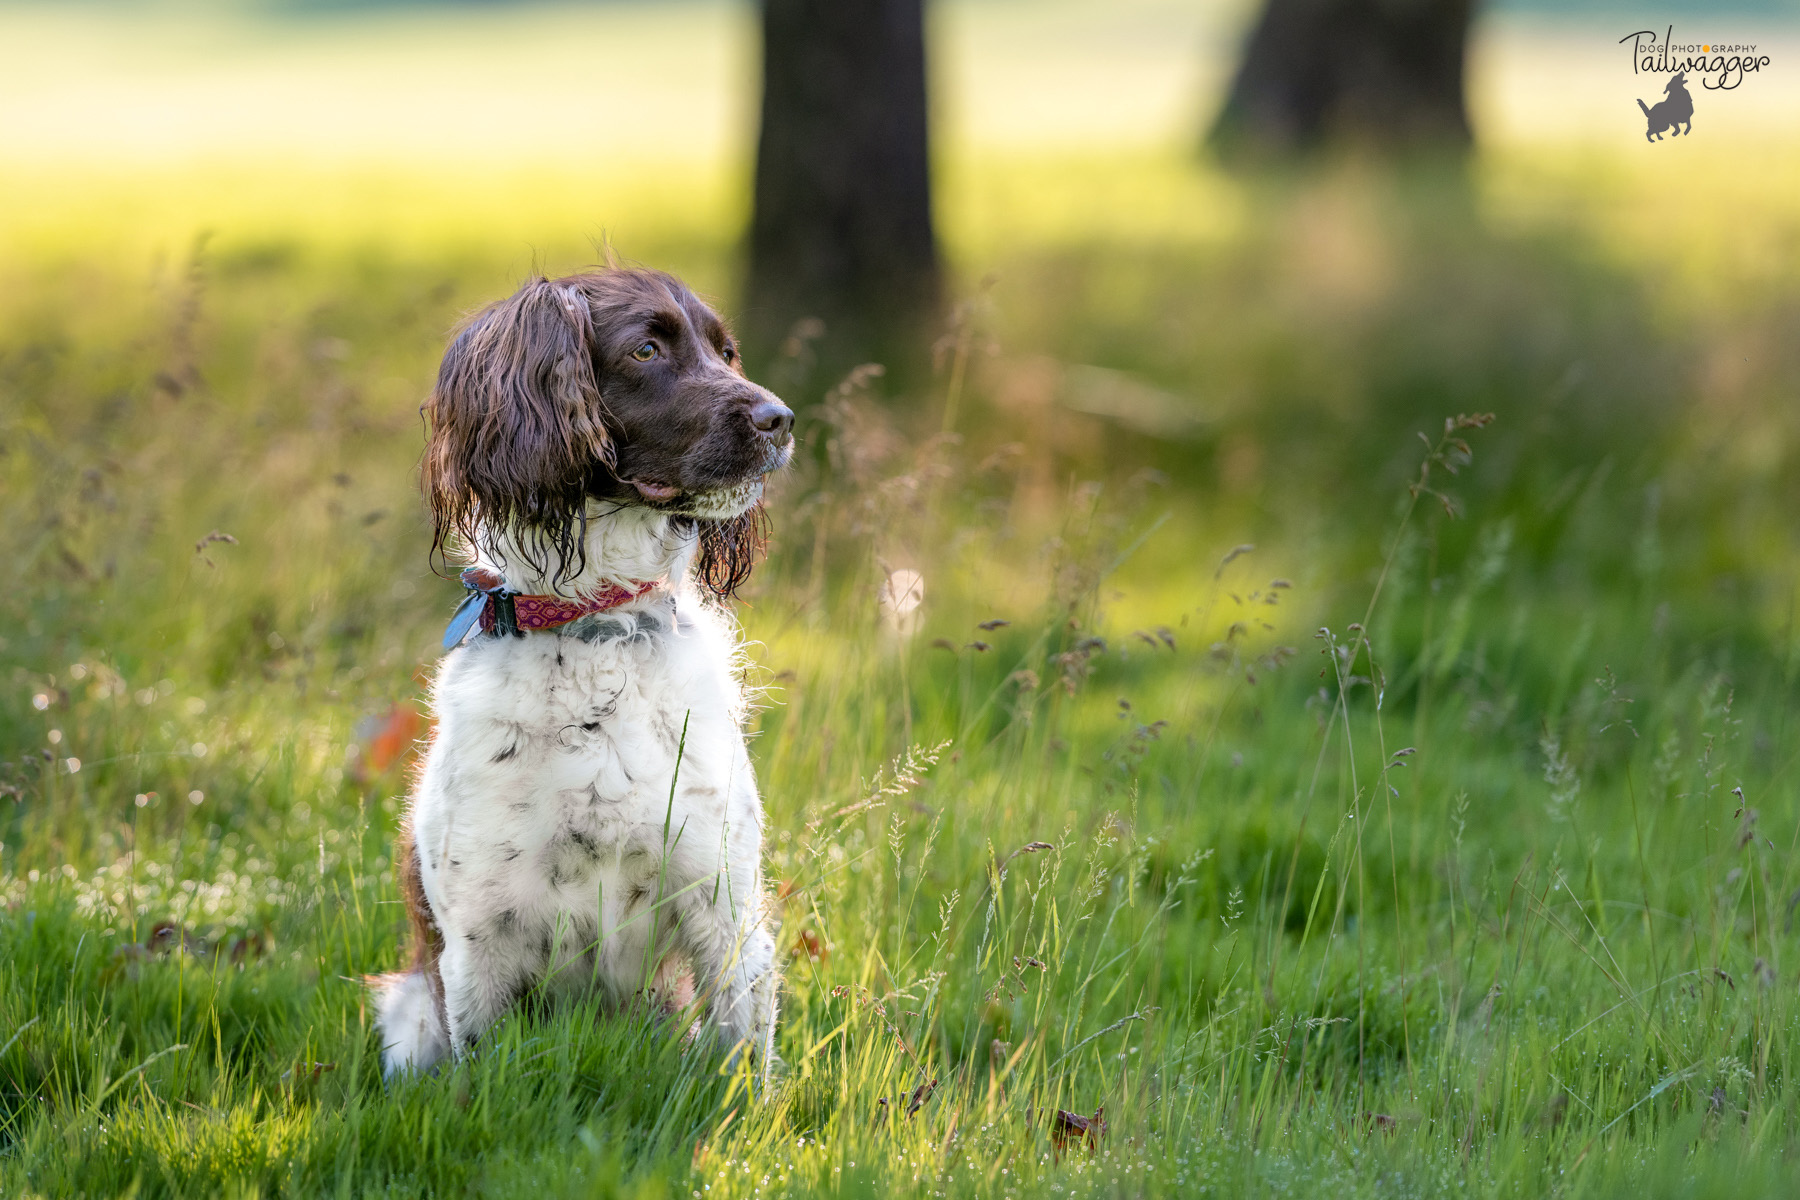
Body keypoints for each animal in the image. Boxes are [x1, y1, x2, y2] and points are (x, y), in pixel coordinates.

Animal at [369, 269, 792, 1079]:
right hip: (410, 1014)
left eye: (725, 351)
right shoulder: (478, 938)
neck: (597, 627)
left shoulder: (724, 906)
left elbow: (741, 1067)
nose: (780, 419)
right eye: (646, 349)